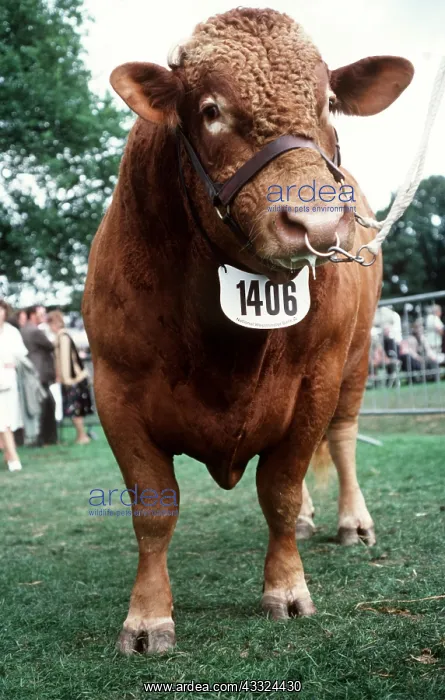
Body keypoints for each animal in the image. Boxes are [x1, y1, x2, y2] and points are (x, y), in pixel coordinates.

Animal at [83, 8, 413, 654]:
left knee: (341, 437)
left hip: (358, 356)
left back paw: (351, 522)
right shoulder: (114, 389)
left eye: (328, 102)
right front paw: (147, 618)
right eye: (211, 110)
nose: (316, 222)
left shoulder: (315, 381)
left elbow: (279, 490)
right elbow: (153, 509)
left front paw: (286, 590)